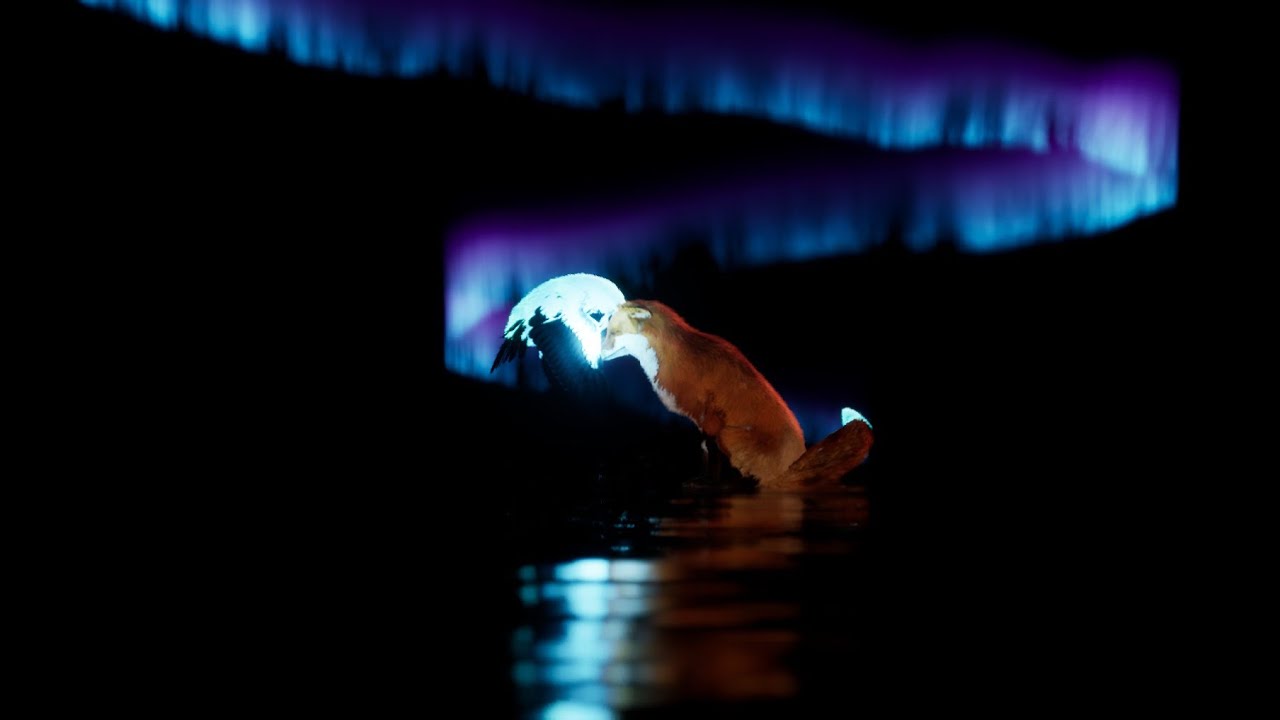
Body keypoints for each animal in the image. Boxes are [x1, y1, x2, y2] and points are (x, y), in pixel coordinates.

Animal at [602, 299, 869, 487]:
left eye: (613, 334)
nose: (599, 355)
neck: (673, 358)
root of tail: (793, 462)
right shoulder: (699, 421)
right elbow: (703, 450)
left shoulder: (710, 418)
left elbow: (711, 453)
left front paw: (708, 482)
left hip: (730, 435)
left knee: (760, 481)